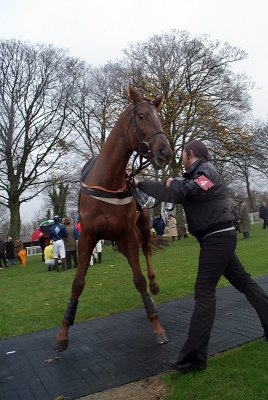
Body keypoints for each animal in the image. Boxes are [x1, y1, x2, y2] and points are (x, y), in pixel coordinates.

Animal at [53, 86, 173, 352]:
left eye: (160, 118)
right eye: (141, 116)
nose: (165, 152)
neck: (107, 181)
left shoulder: (127, 234)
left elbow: (139, 279)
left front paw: (157, 326)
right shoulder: (87, 237)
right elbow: (78, 283)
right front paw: (63, 332)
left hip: (142, 227)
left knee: (146, 251)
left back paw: (154, 285)